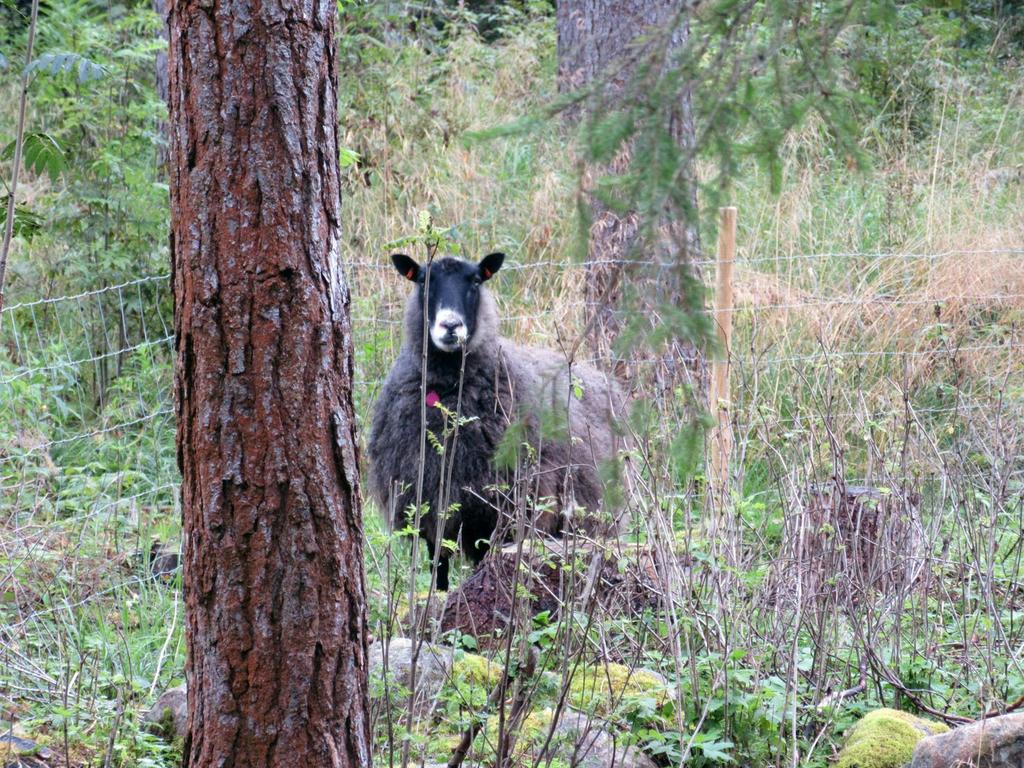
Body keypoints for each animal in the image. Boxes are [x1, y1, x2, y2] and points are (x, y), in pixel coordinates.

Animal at [368, 252, 622, 589]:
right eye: (423, 279)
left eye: (476, 280)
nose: (451, 326)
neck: (450, 391)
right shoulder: (432, 506)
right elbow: (439, 572)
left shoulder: (496, 511)